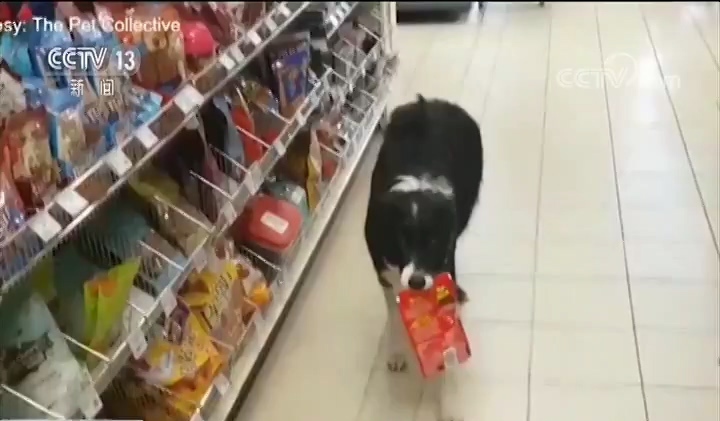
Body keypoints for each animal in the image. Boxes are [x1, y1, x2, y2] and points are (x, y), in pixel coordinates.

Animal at [364, 95, 483, 421]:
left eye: (432, 241)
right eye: (402, 240)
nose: (417, 282)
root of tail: (430, 102)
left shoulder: (443, 260)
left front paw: (449, 404)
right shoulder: (384, 270)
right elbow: (393, 314)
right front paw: (395, 351)